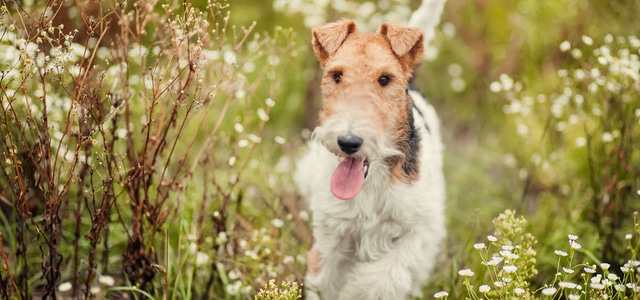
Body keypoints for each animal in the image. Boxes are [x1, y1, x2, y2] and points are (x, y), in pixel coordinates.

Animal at [296, 19, 444, 300]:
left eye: (385, 79)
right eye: (337, 75)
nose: (348, 142)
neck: (372, 183)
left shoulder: (414, 231)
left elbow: (380, 280)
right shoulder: (332, 237)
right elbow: (324, 281)